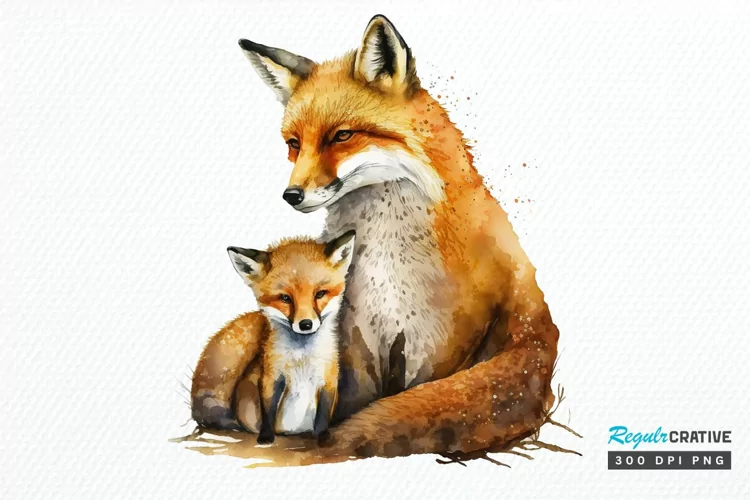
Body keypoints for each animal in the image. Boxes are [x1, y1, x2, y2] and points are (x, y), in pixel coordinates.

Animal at [225, 232, 356, 444]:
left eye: (320, 294)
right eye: (285, 298)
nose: (306, 324)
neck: (302, 358)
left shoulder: (328, 378)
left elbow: (323, 414)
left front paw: (321, 436)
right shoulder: (271, 377)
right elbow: (268, 411)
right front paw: (266, 436)